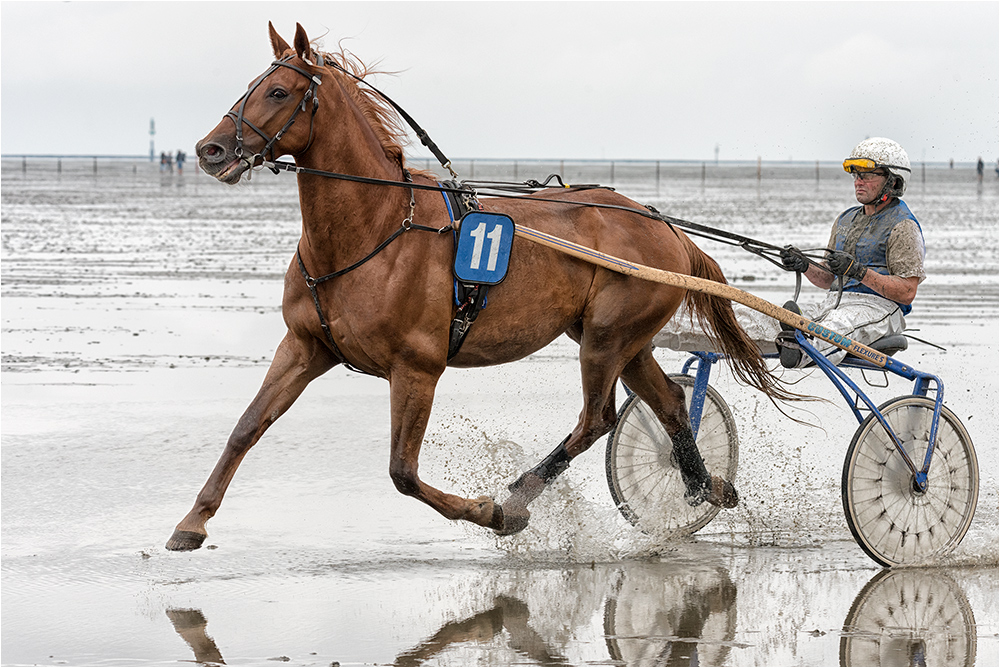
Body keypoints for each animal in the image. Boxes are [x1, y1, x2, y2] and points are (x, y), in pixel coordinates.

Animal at [168, 23, 784, 552]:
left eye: (277, 91)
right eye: (248, 86)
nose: (209, 150)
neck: (373, 230)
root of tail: (664, 226)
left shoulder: (416, 367)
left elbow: (402, 472)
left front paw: (492, 513)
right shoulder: (305, 346)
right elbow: (245, 428)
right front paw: (192, 522)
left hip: (607, 338)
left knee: (597, 420)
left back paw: (521, 493)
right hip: (620, 340)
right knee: (672, 405)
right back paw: (706, 486)